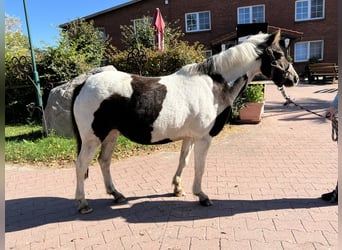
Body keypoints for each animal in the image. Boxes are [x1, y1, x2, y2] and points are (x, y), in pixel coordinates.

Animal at [73, 30, 300, 214]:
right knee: (82, 164)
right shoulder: (204, 138)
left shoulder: (190, 137)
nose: (294, 78)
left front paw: (178, 188)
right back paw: (83, 204)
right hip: (93, 138)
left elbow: (184, 161)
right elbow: (200, 166)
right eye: (278, 54)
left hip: (111, 134)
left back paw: (116, 194)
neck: (214, 85)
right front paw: (202, 196)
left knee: (104, 161)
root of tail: (83, 84)